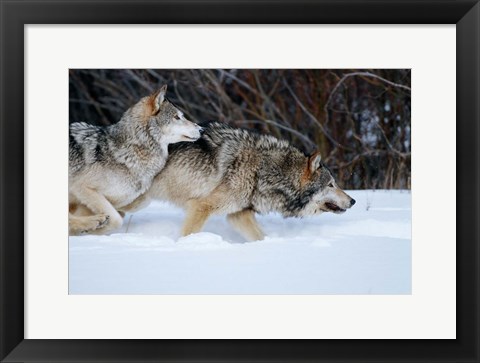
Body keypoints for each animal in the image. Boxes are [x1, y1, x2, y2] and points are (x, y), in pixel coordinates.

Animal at [68, 86, 202, 237]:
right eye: (177, 117)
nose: (201, 129)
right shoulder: (81, 188)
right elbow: (116, 220)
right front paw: (93, 231)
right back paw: (94, 221)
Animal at [123, 122, 356, 242]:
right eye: (331, 184)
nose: (353, 201)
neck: (263, 171)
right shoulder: (201, 207)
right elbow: (188, 234)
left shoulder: (238, 214)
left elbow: (260, 237)